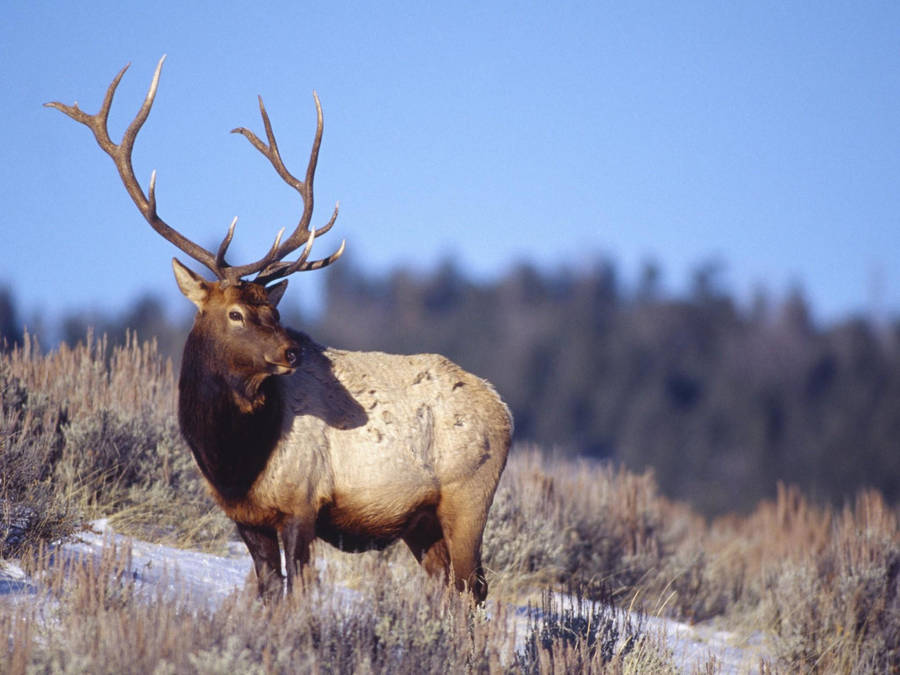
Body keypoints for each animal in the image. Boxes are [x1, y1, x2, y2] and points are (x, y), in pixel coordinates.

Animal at [46, 57, 512, 603]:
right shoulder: (245, 517)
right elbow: (269, 591)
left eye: (273, 307)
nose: (293, 352)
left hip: (467, 497)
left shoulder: (302, 502)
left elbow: (299, 593)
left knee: (471, 589)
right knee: (451, 591)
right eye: (236, 313)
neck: (233, 460)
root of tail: (504, 410)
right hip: (421, 523)